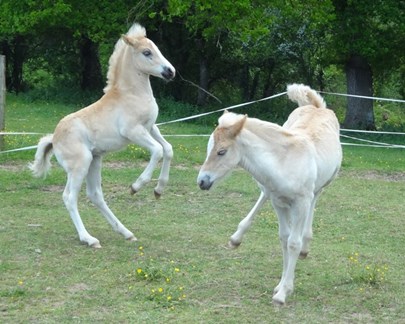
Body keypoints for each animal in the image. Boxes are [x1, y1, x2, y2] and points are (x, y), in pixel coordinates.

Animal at [30, 24, 175, 248]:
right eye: (146, 52)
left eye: (156, 48)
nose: (170, 72)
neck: (131, 94)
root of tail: (53, 139)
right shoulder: (133, 132)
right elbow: (158, 151)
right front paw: (136, 186)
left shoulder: (151, 128)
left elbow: (167, 149)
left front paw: (158, 190)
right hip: (80, 164)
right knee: (69, 197)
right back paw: (89, 239)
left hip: (95, 160)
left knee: (95, 195)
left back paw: (125, 232)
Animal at [197, 84, 342, 306]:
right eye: (208, 149)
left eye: (221, 152)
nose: (202, 181)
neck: (285, 162)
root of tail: (318, 107)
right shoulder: (278, 203)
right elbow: (284, 238)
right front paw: (281, 285)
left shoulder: (301, 203)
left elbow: (293, 243)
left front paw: (283, 293)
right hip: (273, 192)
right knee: (264, 194)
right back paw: (237, 237)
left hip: (323, 184)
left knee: (315, 199)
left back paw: (306, 244)